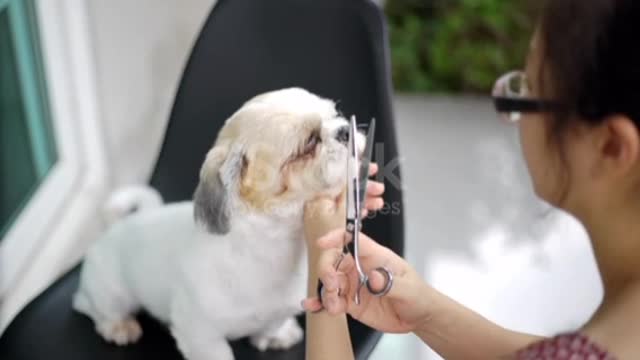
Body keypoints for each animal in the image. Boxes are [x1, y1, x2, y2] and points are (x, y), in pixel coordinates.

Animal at [72, 88, 362, 360]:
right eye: (308, 143)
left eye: (335, 114)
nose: (345, 130)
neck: (271, 249)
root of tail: (115, 227)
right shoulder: (199, 332)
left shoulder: (281, 308)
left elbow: (272, 323)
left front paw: (275, 336)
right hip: (111, 292)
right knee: (90, 306)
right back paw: (118, 326)